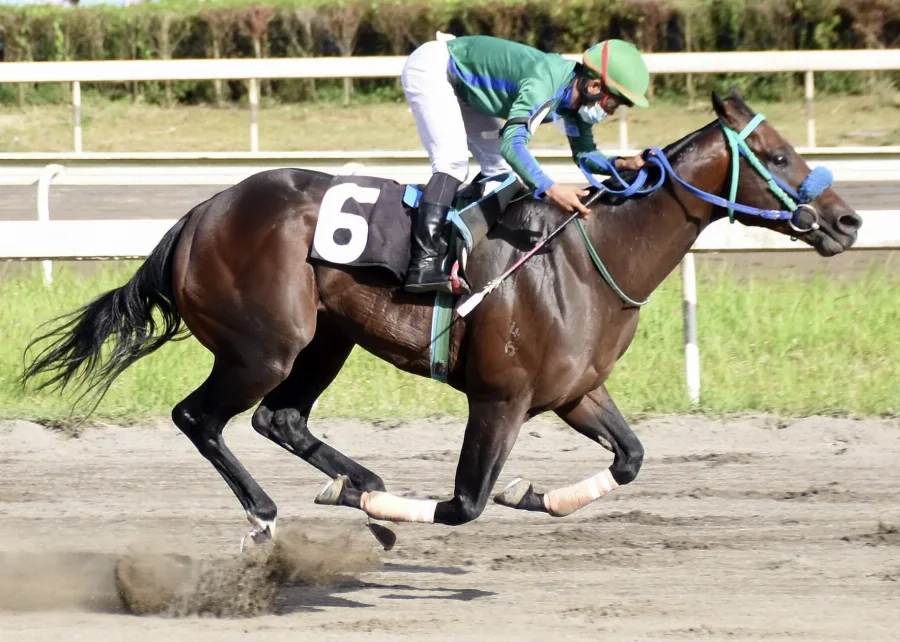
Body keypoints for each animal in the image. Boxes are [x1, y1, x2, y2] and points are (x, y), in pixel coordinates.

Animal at [20, 88, 861, 551]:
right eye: (778, 157)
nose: (849, 222)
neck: (584, 259)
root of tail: (197, 215)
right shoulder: (499, 398)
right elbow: (464, 504)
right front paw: (422, 503)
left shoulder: (576, 392)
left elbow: (629, 458)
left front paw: (532, 493)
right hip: (266, 346)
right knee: (200, 417)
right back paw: (271, 515)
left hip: (325, 340)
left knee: (279, 419)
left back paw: (357, 485)